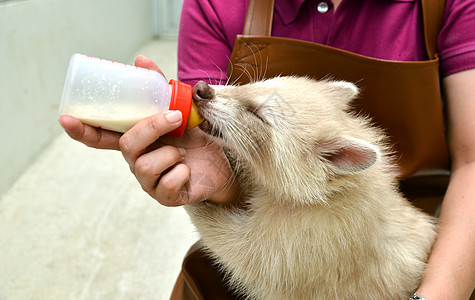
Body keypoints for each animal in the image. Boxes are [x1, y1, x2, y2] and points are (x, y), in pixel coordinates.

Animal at [184, 76, 436, 298]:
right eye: (254, 84)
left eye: (259, 115)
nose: (201, 89)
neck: (336, 188)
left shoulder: (307, 247)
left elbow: (241, 252)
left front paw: (198, 209)